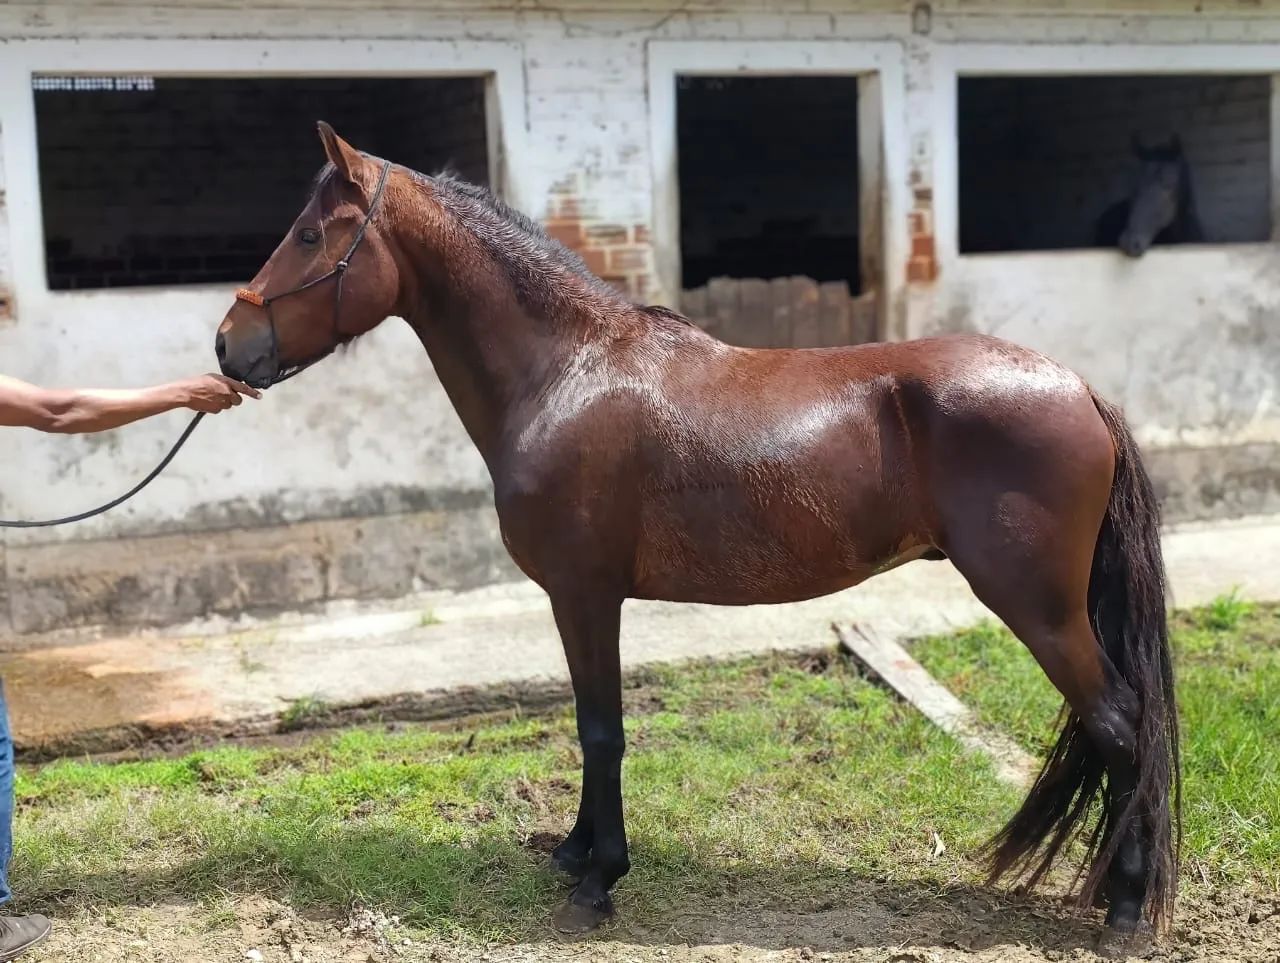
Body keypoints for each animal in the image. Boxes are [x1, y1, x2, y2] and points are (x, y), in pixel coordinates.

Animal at [216, 122, 1180, 955]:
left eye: (310, 234)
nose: (229, 345)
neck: (568, 372)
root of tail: (1080, 388)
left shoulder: (586, 593)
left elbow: (602, 729)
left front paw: (597, 882)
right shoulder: (578, 599)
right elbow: (586, 723)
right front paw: (575, 852)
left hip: (1040, 609)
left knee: (1121, 726)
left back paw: (1127, 910)